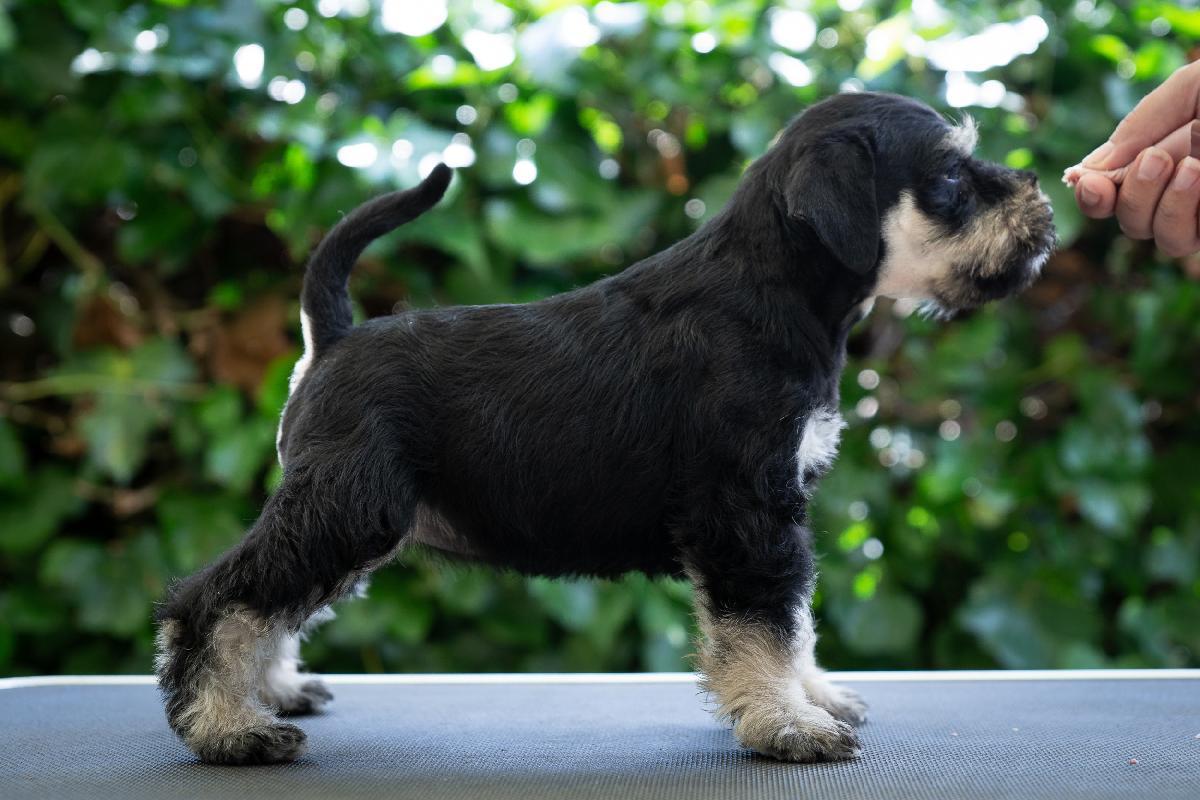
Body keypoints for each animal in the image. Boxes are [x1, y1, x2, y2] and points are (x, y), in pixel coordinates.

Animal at [155, 91, 1055, 765]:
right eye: (950, 176)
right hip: (347, 509)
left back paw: (274, 692)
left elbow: (793, 621)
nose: (1042, 202)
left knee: (270, 603)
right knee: (216, 599)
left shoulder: (774, 513)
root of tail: (334, 338)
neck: (775, 292)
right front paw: (789, 725)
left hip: (348, 517)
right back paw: (229, 729)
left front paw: (815, 697)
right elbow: (764, 625)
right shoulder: (747, 514)